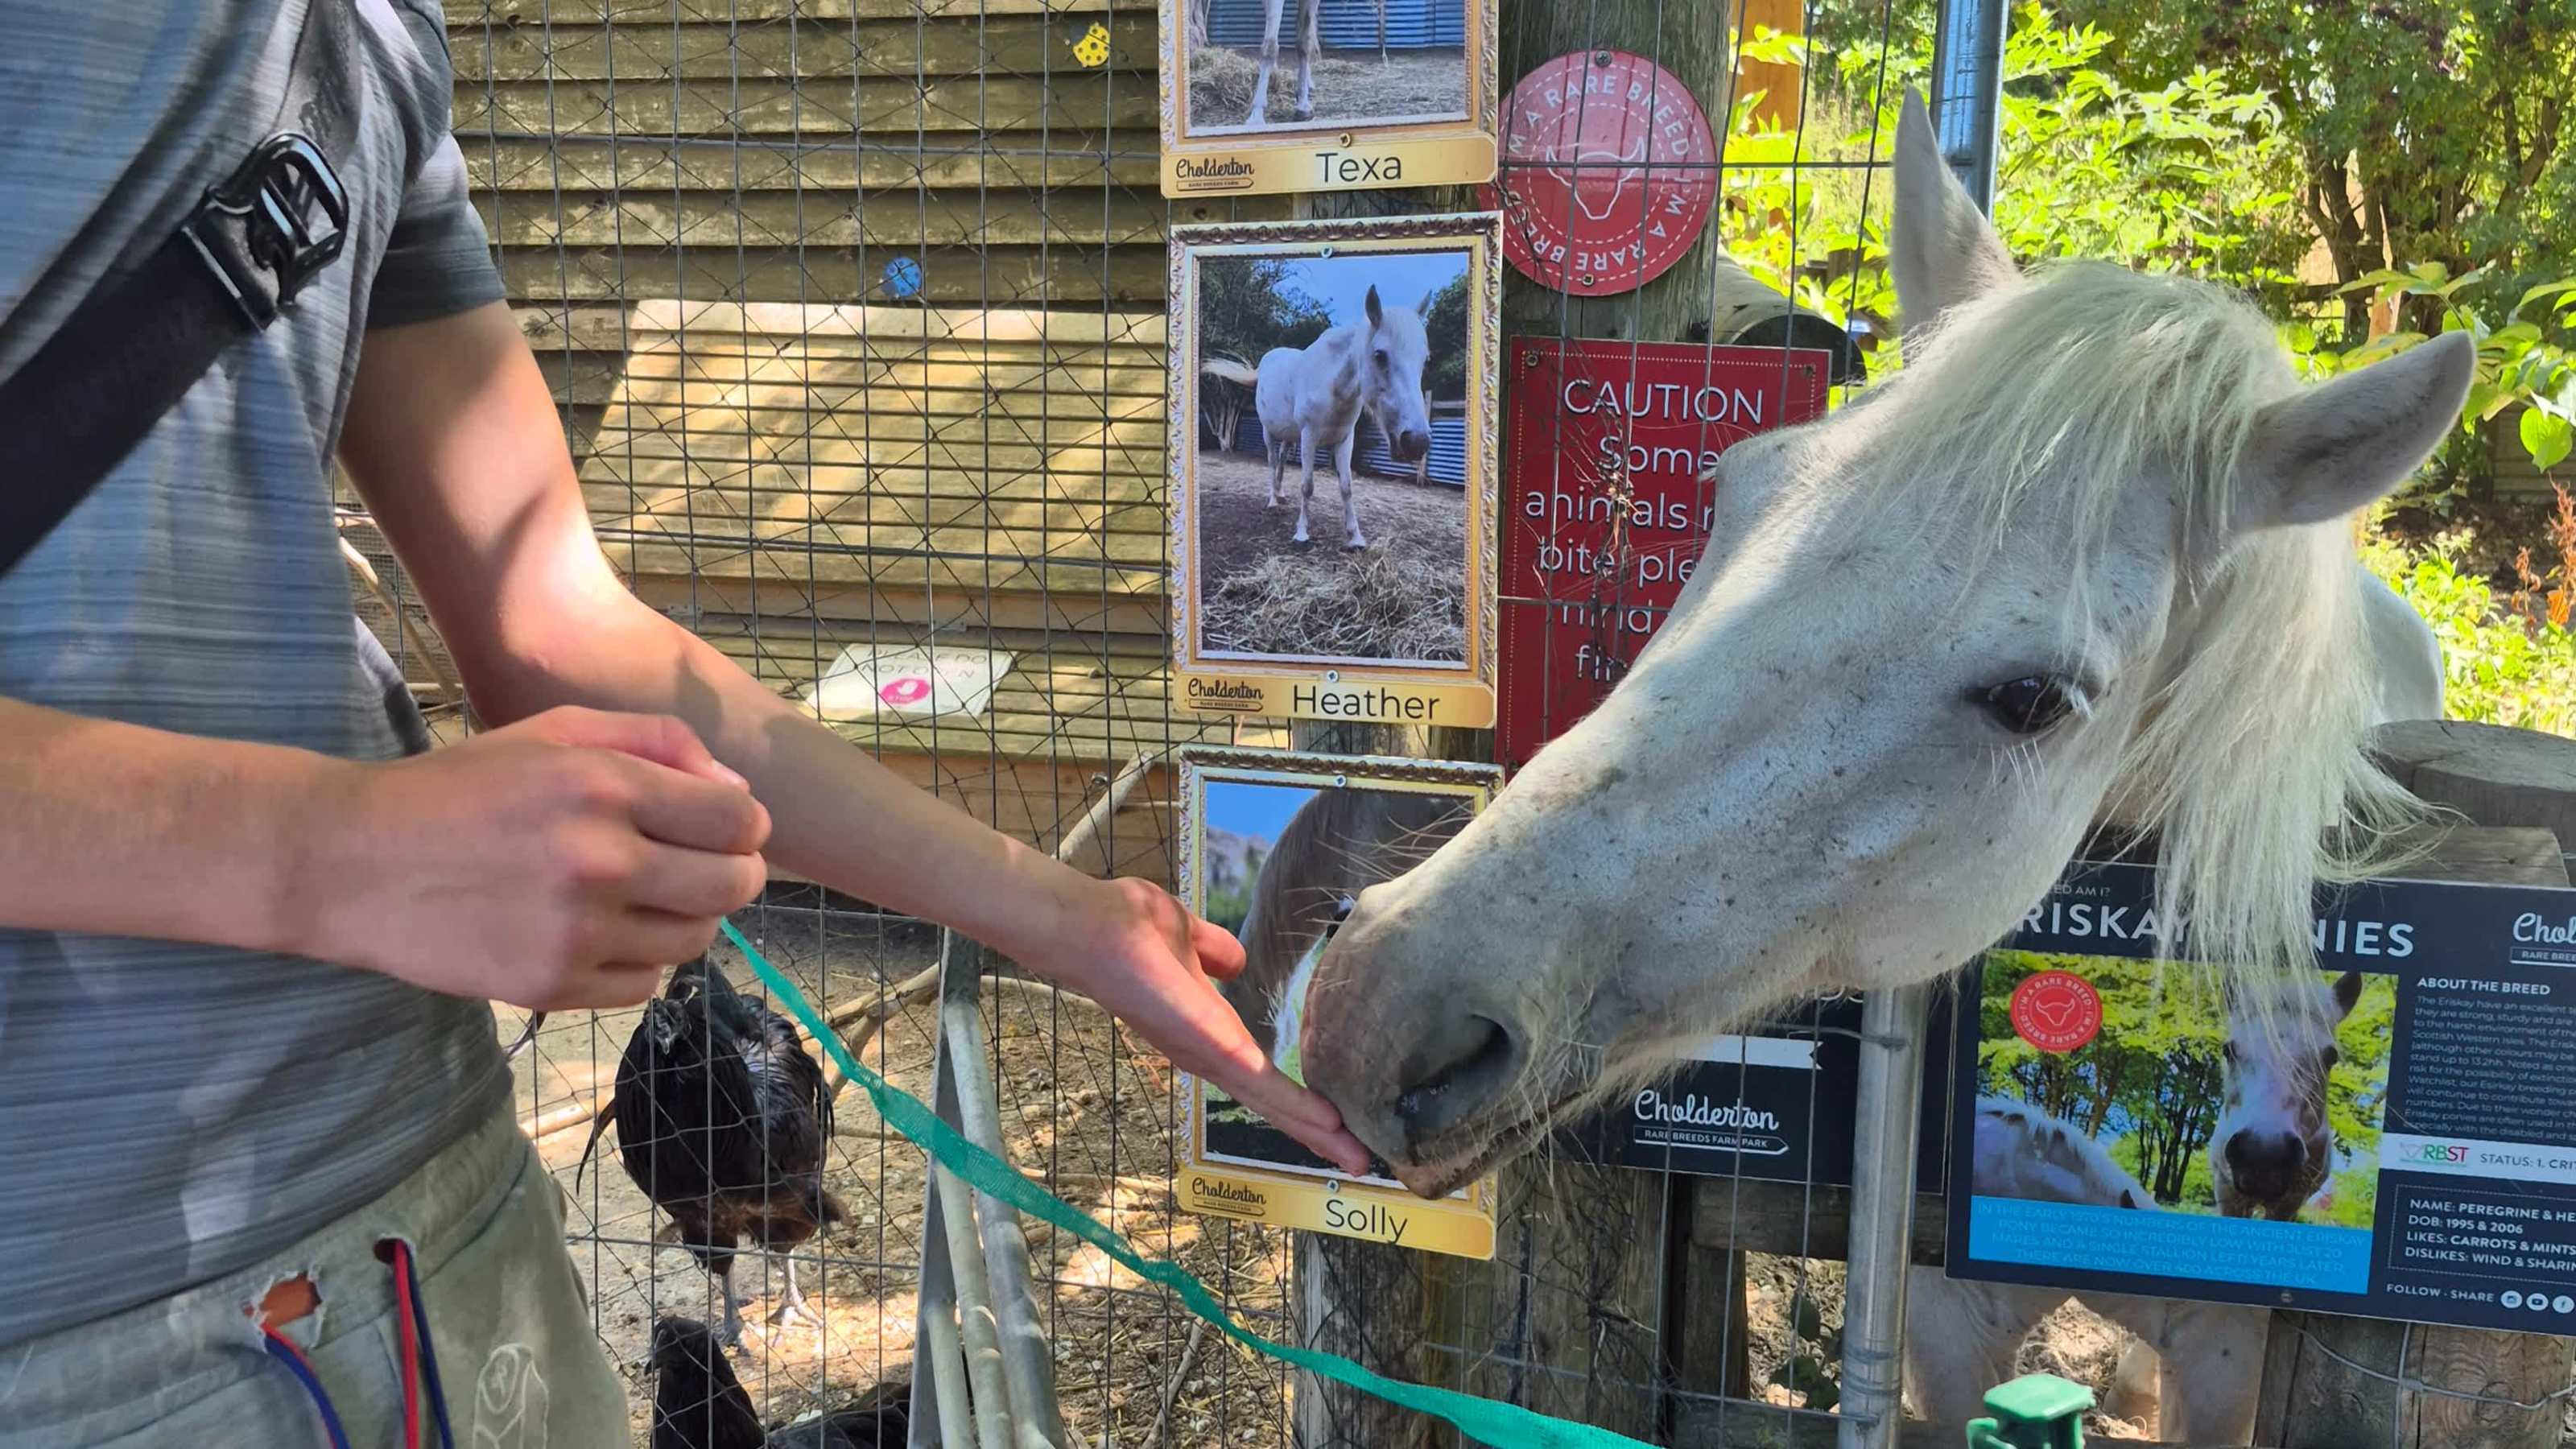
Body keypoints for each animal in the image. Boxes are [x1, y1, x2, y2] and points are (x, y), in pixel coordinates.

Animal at [1206, 284, 1435, 551]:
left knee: (1282, 460)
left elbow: (1346, 487)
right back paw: (1272, 500)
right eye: (1380, 355)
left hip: (1289, 435)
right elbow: (1307, 485)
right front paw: (1302, 534)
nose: (1417, 441)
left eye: (1425, 359)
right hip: (1268, 432)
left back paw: (1280, 494)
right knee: (1272, 461)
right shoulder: (1310, 437)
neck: (1332, 384)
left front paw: (1355, 537)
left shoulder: (1345, 440)